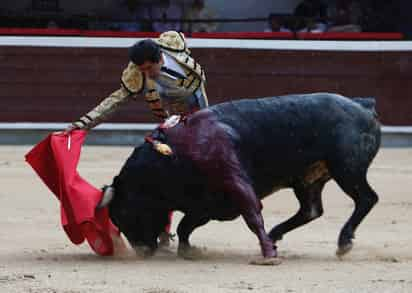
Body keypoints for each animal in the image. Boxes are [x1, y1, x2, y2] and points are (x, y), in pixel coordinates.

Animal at [101, 92, 382, 262]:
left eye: (125, 212)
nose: (141, 251)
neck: (173, 155)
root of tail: (363, 105)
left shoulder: (234, 185)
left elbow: (252, 215)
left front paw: (268, 254)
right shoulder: (206, 202)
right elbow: (184, 225)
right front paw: (189, 250)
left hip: (347, 169)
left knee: (366, 199)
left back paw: (343, 241)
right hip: (307, 179)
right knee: (311, 209)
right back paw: (277, 234)